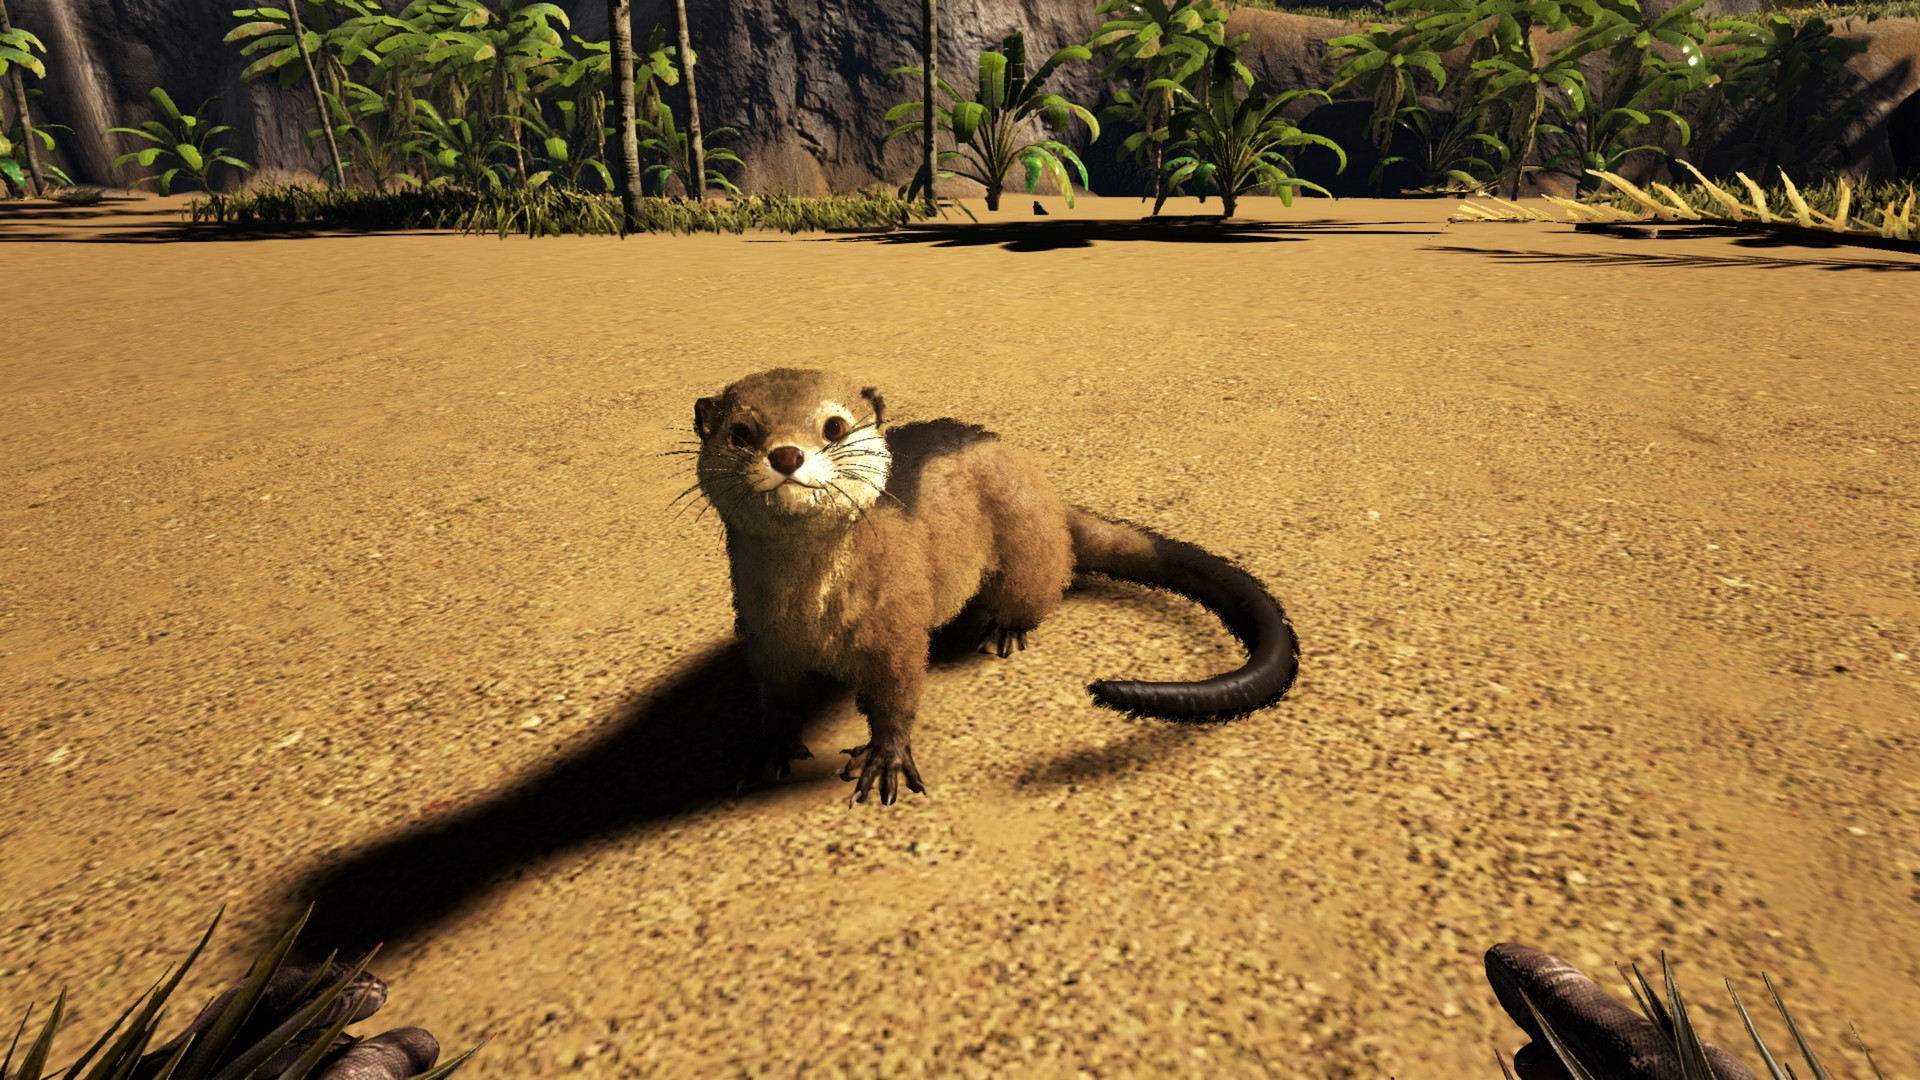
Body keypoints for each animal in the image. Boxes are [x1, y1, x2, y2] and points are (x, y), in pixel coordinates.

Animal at [688, 368, 1299, 805]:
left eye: (834, 427)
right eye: (741, 433)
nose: (786, 454)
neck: (813, 610)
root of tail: (1051, 499)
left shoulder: (896, 630)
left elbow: (897, 694)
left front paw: (885, 757)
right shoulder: (765, 640)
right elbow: (777, 699)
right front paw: (767, 748)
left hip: (1024, 541)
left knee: (1038, 589)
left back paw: (1001, 630)